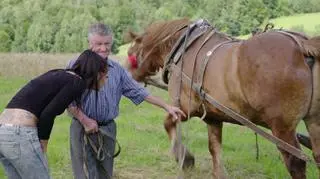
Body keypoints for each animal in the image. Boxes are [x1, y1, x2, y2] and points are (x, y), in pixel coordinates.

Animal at [126, 18, 320, 178]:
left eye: (130, 52)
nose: (127, 74)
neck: (183, 48)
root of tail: (303, 44)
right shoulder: (213, 117)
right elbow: (214, 147)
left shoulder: (184, 108)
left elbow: (167, 124)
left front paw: (184, 157)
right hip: (313, 121)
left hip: (282, 127)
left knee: (296, 162)